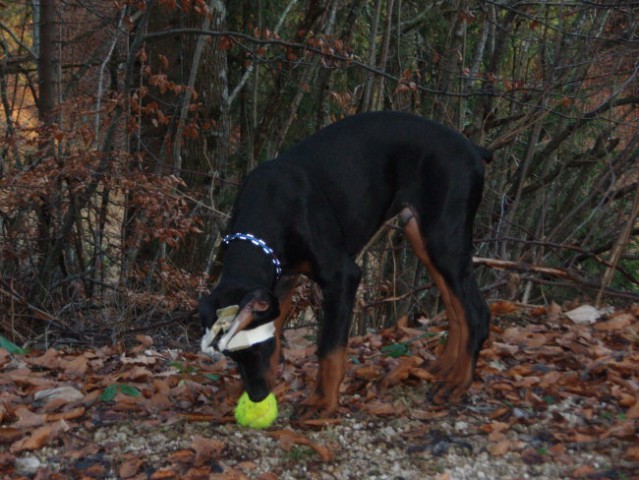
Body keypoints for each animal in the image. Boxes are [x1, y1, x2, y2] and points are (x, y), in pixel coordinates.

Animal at [200, 110, 490, 418]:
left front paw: (321, 401)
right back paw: (445, 366)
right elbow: (278, 332)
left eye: (257, 348)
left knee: (476, 313)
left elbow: (329, 347)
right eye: (232, 354)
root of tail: (472, 149)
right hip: (422, 237)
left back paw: (458, 383)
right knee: (454, 308)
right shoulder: (282, 280)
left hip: (444, 239)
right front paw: (237, 390)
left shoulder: (341, 276)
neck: (269, 206)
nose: (257, 396)